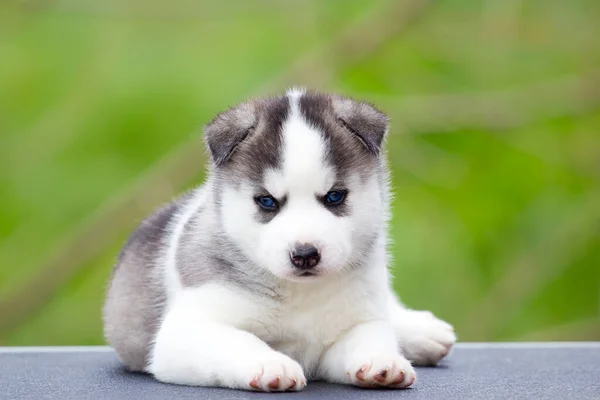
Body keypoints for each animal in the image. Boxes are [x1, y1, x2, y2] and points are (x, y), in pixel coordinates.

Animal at [105, 88, 458, 390]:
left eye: (335, 196)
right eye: (267, 201)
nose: (305, 254)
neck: (301, 295)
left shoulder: (354, 323)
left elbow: (371, 335)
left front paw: (382, 361)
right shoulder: (185, 331)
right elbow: (239, 340)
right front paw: (270, 364)